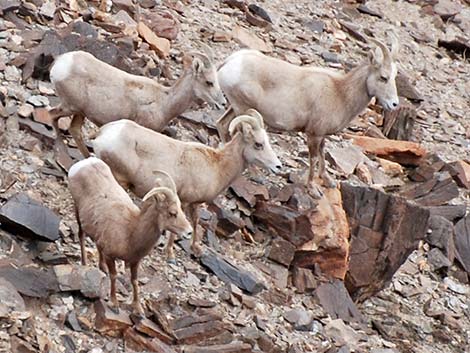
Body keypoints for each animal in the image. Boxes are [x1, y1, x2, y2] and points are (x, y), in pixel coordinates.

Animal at [49, 48, 226, 157]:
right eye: (209, 82)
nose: (223, 103)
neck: (164, 101)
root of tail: (61, 63)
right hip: (70, 107)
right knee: (52, 115)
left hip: (80, 112)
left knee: (74, 130)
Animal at [67, 157, 191, 314]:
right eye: (172, 213)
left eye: (180, 210)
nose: (189, 232)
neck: (130, 233)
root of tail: (86, 162)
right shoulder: (111, 256)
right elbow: (114, 276)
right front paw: (114, 304)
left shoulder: (135, 261)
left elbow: (134, 281)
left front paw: (138, 308)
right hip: (77, 210)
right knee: (81, 235)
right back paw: (84, 264)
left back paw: (102, 268)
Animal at [93, 110, 280, 262]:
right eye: (258, 144)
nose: (278, 166)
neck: (217, 167)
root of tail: (103, 135)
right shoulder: (183, 201)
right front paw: (170, 255)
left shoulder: (194, 204)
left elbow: (195, 222)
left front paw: (196, 249)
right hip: (120, 180)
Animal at [217, 32, 400, 197]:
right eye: (383, 77)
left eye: (394, 77)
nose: (394, 104)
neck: (339, 93)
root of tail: (229, 63)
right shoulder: (314, 135)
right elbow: (313, 159)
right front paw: (313, 190)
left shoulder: (321, 135)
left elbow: (322, 154)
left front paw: (328, 181)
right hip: (242, 108)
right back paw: (256, 176)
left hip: (235, 107)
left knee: (222, 124)